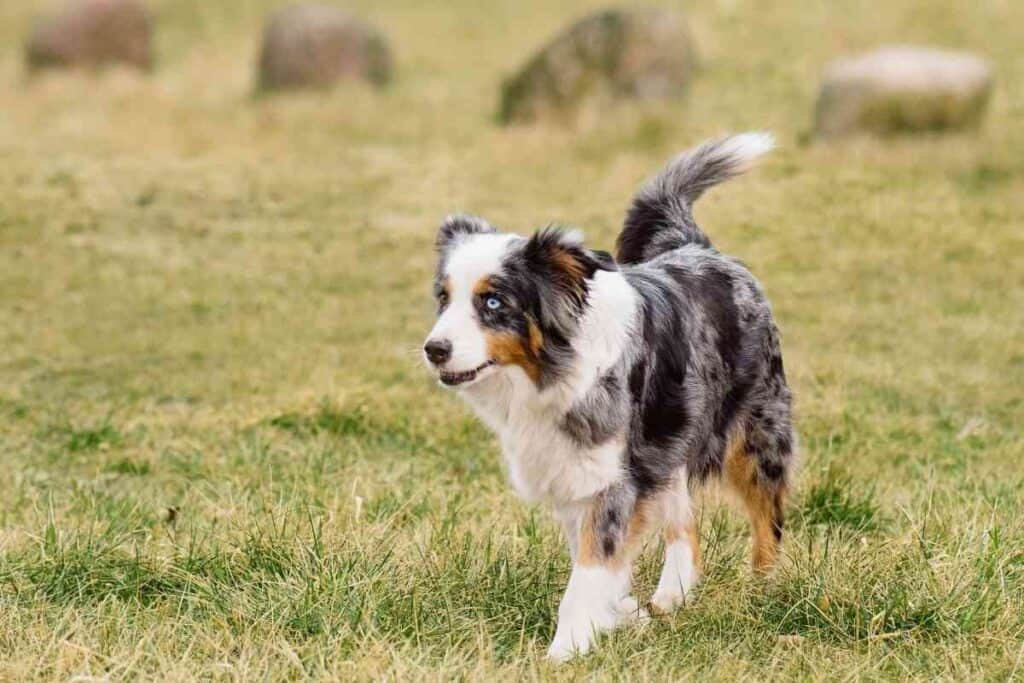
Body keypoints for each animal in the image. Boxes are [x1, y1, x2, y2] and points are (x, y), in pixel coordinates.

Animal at [419, 133, 794, 663]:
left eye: (493, 302)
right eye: (443, 298)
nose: (434, 349)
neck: (550, 375)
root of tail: (697, 246)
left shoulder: (615, 479)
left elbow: (590, 570)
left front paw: (565, 651)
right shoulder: (576, 471)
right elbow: (598, 562)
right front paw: (620, 614)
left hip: (756, 433)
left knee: (767, 518)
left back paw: (763, 589)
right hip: (668, 440)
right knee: (686, 524)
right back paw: (669, 599)